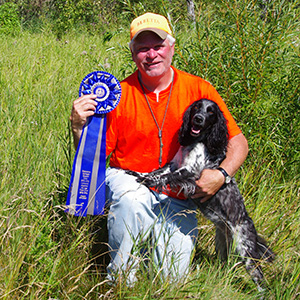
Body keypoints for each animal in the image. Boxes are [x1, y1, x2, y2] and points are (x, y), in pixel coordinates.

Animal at [126, 99, 274, 292]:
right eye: (197, 107)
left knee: (260, 279)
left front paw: (147, 182)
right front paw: (139, 175)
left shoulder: (190, 171)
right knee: (224, 264)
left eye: (211, 112)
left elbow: (164, 177)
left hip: (246, 250)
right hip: (222, 242)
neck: (196, 141)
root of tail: (248, 222)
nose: (198, 118)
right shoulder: (173, 164)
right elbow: (156, 172)